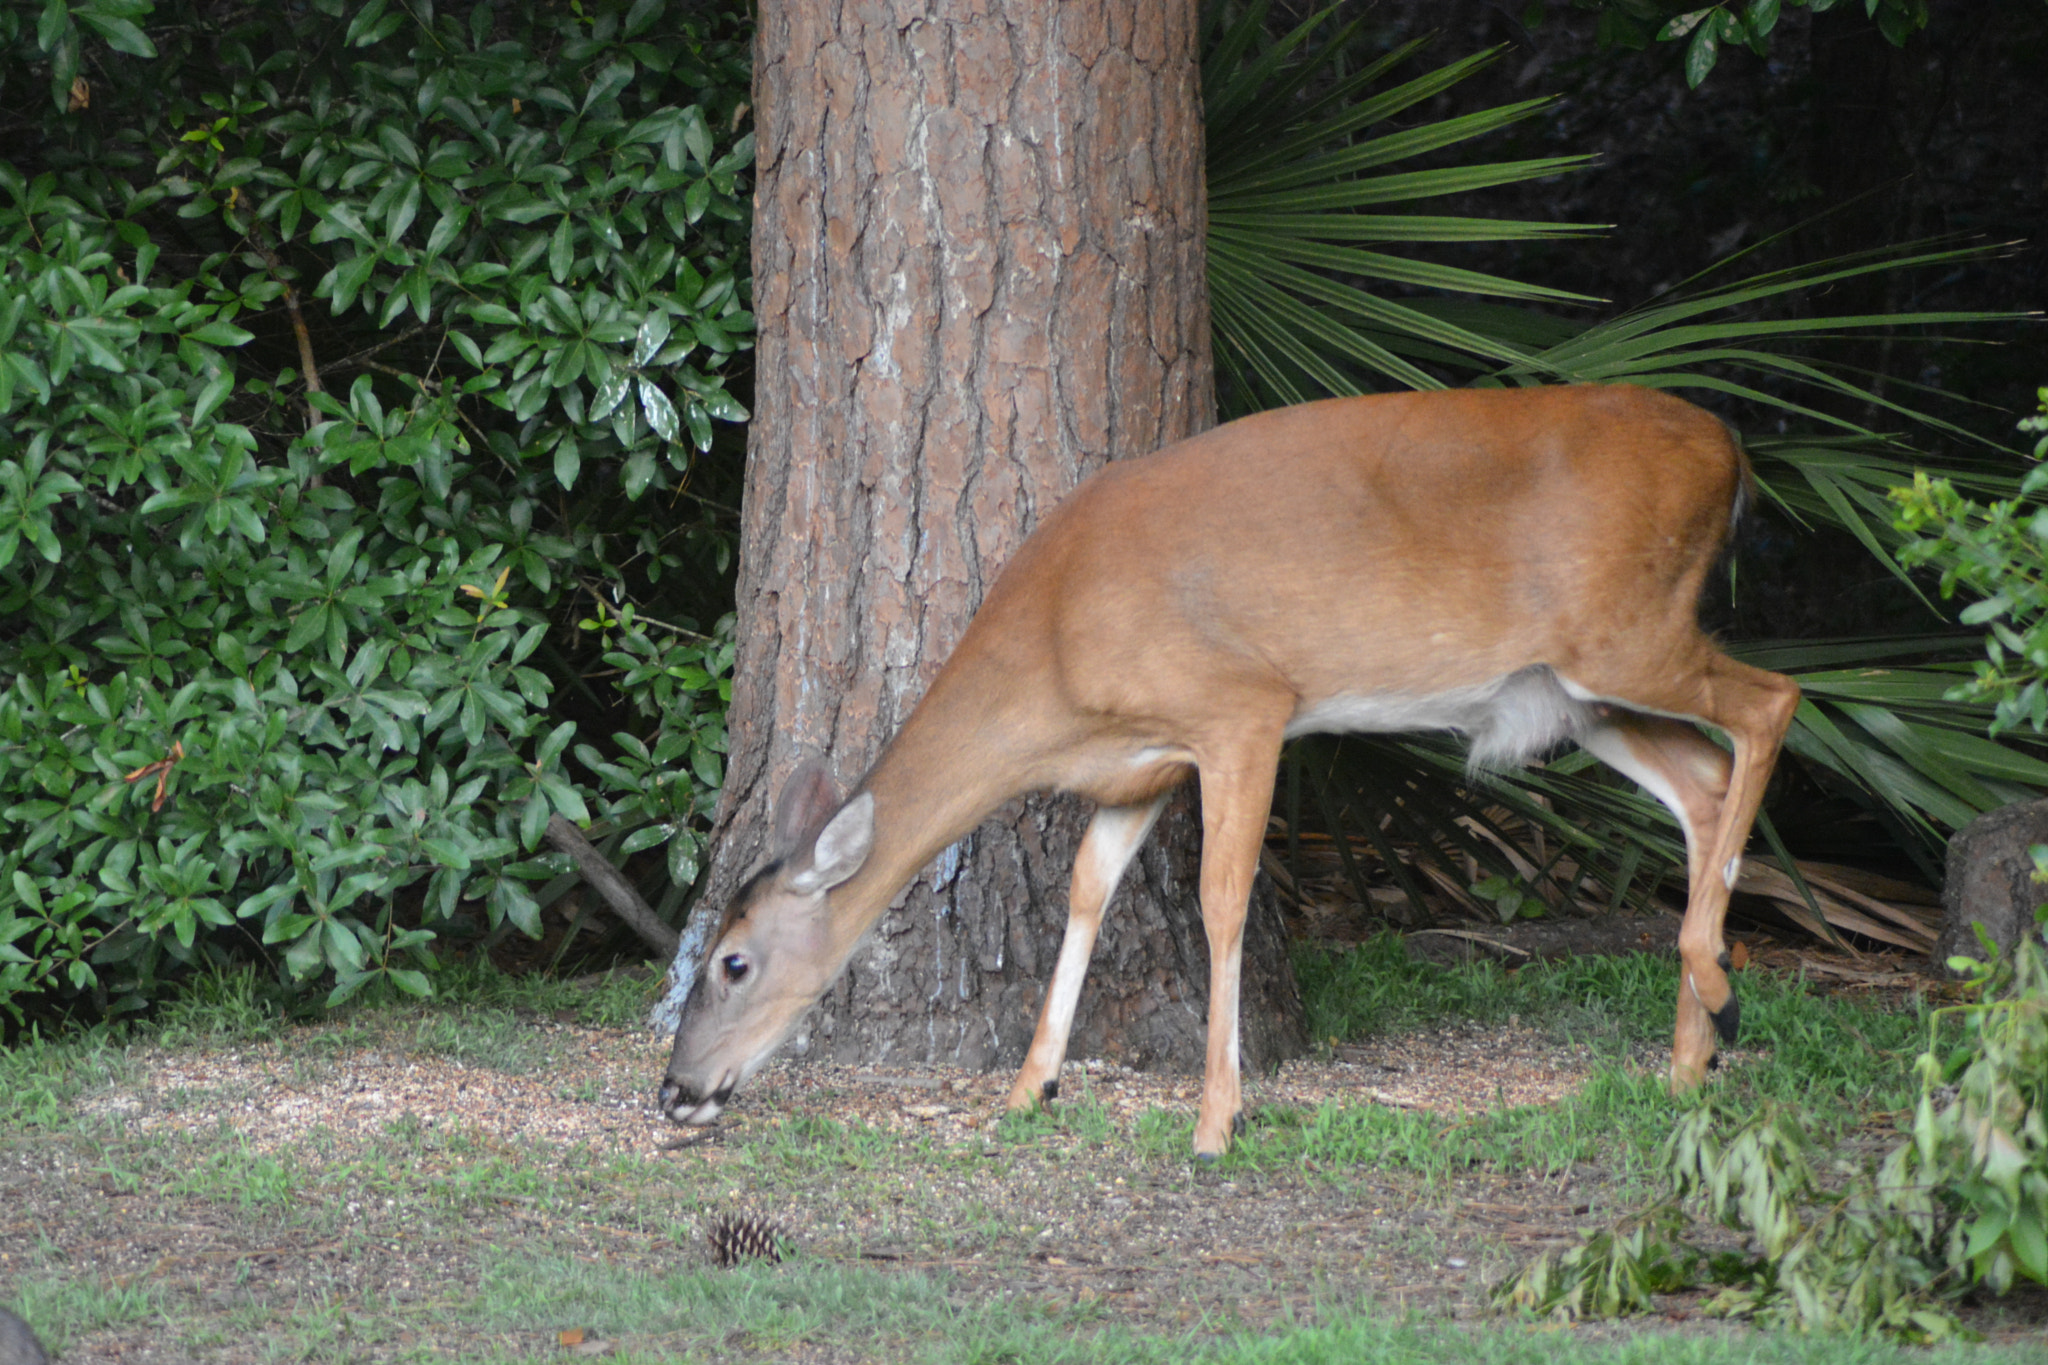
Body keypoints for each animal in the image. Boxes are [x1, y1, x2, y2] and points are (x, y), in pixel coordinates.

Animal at [663, 386, 1802, 1162]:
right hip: (1576, 690)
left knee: (1772, 699)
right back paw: (1689, 1057)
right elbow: (1085, 890)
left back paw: (1718, 988)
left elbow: (1223, 899)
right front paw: (1030, 1085)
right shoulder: (1138, 768)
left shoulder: (1243, 707)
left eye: (732, 962)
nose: (675, 1090)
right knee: (1704, 779)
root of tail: (1733, 451)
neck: (1056, 654)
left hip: (1628, 631)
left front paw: (1218, 1117)